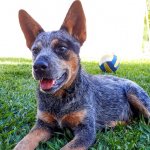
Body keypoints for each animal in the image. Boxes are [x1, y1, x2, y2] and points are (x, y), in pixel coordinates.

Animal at [14, 0, 150, 150]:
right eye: (35, 50)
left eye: (61, 48)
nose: (38, 66)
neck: (61, 99)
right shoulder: (42, 125)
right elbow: (23, 143)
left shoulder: (86, 130)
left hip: (135, 95)